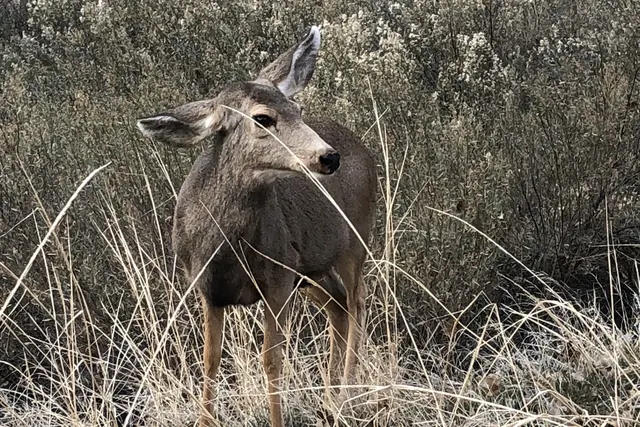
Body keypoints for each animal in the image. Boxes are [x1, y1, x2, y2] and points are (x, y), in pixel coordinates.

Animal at [136, 26, 377, 427]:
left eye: (298, 110)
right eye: (262, 118)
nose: (328, 157)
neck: (226, 247)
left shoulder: (277, 278)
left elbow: (271, 361)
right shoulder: (206, 287)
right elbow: (210, 361)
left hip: (356, 240)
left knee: (357, 302)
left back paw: (347, 396)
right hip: (310, 269)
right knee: (339, 304)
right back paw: (329, 399)